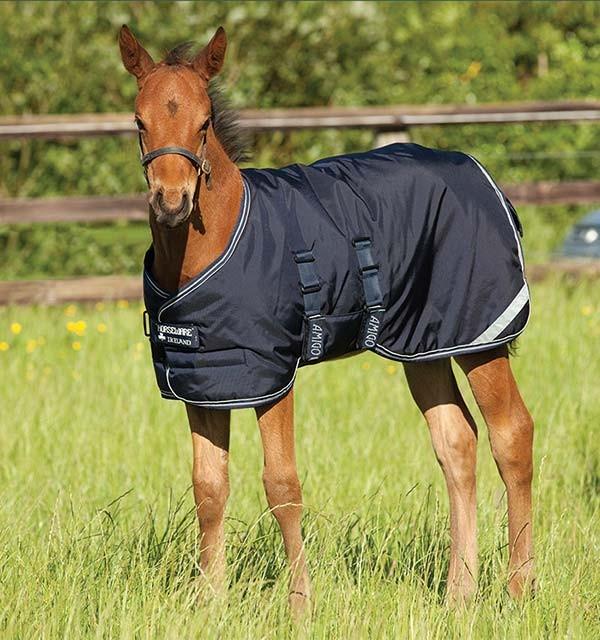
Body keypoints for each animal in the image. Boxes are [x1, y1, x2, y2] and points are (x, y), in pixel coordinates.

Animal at [118, 25, 535, 617]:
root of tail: (485, 177)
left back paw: (519, 590)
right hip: (423, 344)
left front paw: (299, 605)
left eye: (203, 122)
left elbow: (282, 486)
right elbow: (208, 487)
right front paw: (209, 604)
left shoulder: (271, 375)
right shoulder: (204, 382)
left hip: (480, 337)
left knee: (511, 435)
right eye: (139, 121)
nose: (172, 201)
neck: (214, 243)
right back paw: (459, 595)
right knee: (457, 442)